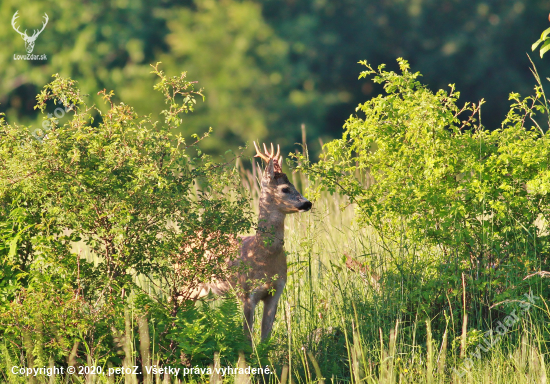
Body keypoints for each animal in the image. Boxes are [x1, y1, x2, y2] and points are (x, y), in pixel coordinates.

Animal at [192, 142, 312, 342]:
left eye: (295, 185)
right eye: (285, 189)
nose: (308, 203)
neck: (263, 254)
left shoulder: (276, 291)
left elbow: (265, 336)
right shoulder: (247, 292)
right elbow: (247, 337)